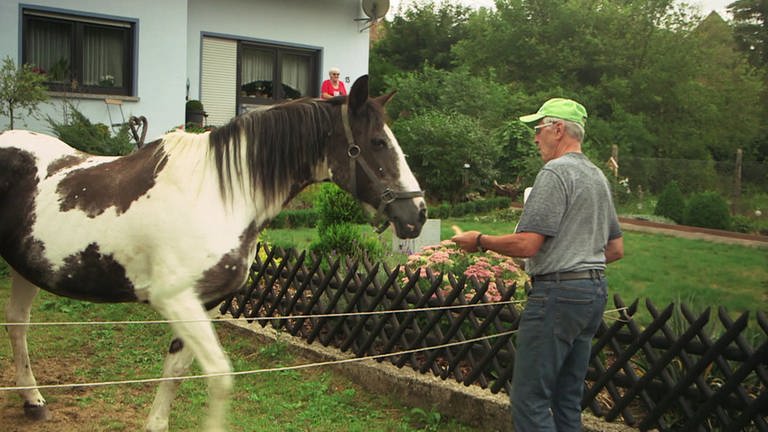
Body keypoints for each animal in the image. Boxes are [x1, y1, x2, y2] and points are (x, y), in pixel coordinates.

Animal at [0, 76, 426, 430]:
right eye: (378, 143)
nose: (418, 214)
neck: (218, 195)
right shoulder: (175, 299)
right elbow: (220, 377)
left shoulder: (205, 303)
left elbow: (176, 369)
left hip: (26, 269)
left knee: (18, 324)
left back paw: (34, 401)